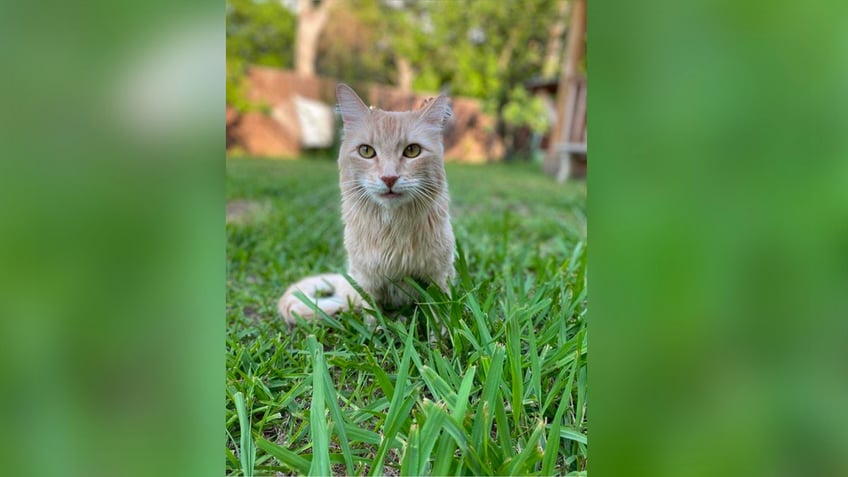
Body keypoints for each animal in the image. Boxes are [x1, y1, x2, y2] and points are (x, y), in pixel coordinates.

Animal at [278, 84, 454, 324]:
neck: (392, 227)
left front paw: (441, 334)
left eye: (412, 151)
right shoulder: (367, 281)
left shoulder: (439, 276)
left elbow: (441, 317)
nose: (389, 178)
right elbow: (373, 316)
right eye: (366, 151)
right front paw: (379, 330)